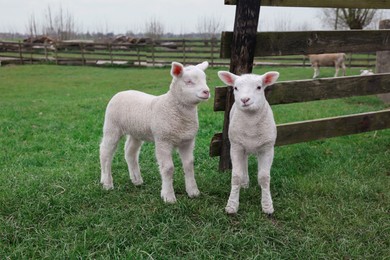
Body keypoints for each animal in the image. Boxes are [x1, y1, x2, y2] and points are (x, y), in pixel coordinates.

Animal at [100, 61, 210, 203]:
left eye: (205, 79)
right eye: (188, 81)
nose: (206, 92)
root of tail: (122, 92)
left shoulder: (188, 141)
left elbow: (189, 165)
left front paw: (193, 191)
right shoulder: (163, 140)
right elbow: (168, 168)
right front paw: (168, 196)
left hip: (136, 131)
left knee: (130, 152)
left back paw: (136, 180)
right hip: (112, 126)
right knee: (105, 153)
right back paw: (106, 182)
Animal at [216, 70, 280, 214]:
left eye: (259, 87)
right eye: (235, 88)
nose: (244, 100)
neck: (251, 123)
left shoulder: (267, 148)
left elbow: (264, 177)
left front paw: (267, 206)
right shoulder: (236, 147)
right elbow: (236, 176)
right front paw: (232, 205)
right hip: (240, 144)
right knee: (244, 163)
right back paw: (245, 183)